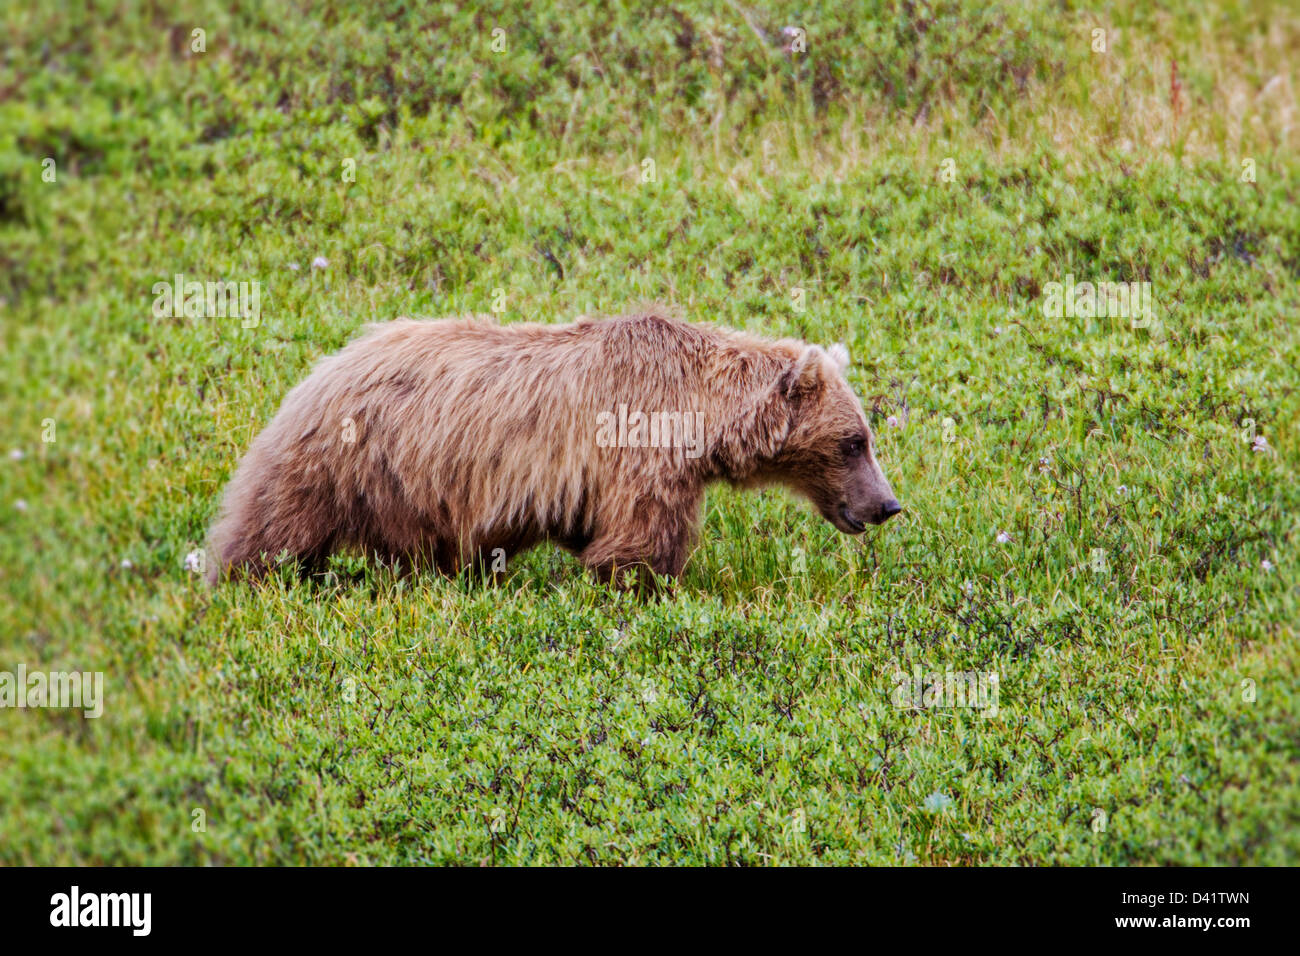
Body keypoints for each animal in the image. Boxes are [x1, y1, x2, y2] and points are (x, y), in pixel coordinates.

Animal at [208, 310, 904, 587]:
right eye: (854, 442)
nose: (888, 505)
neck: (699, 414)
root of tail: (319, 369)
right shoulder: (640, 449)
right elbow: (641, 539)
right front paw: (653, 587)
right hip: (342, 460)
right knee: (272, 529)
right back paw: (241, 577)